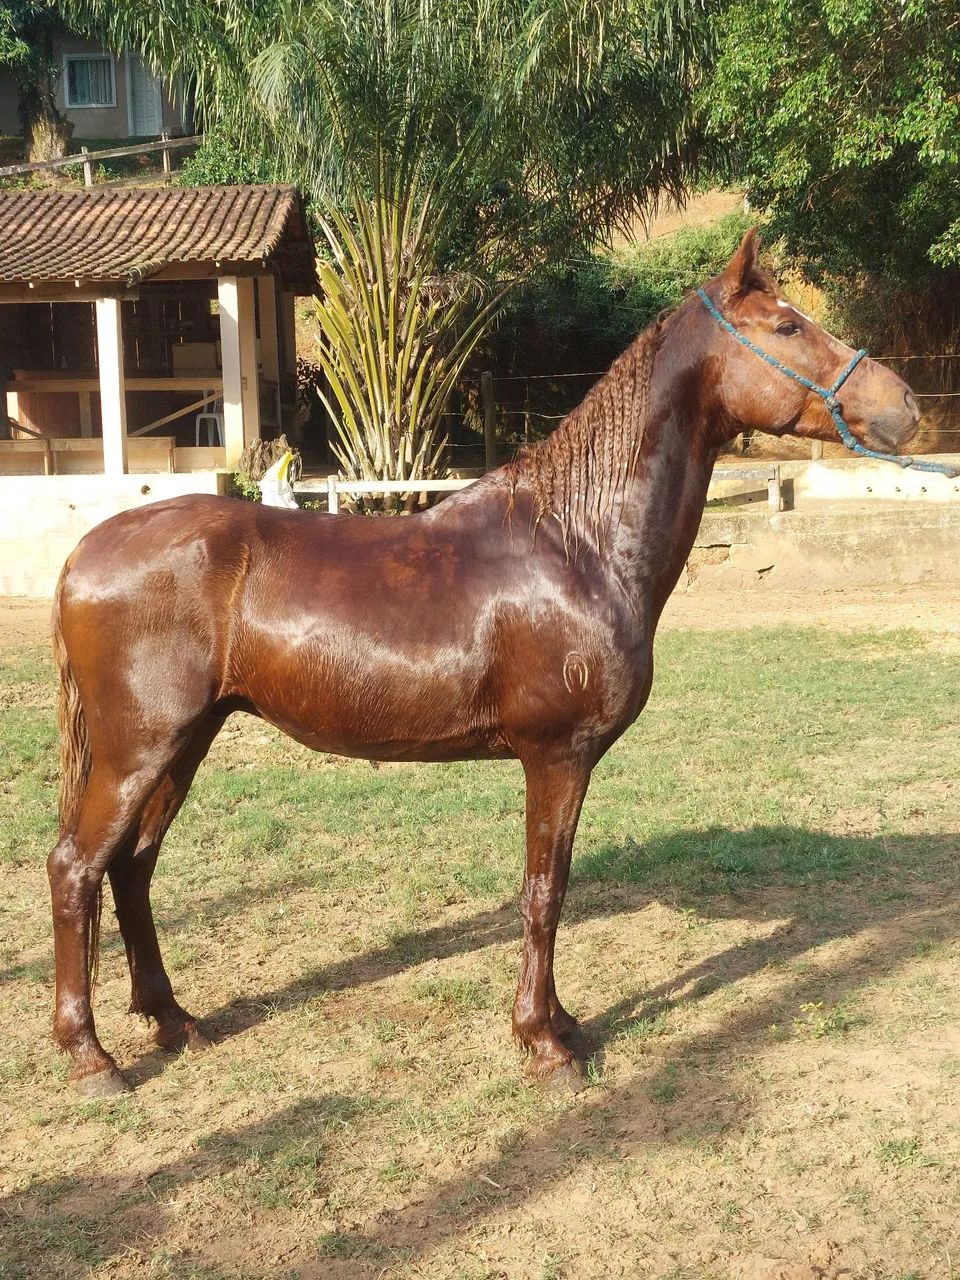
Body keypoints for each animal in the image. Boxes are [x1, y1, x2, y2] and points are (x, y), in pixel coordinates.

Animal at [47, 230, 919, 1097]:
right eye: (786, 326)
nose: (905, 405)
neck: (578, 541)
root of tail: (87, 550)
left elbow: (551, 891)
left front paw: (562, 1022)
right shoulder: (558, 756)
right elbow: (543, 893)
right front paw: (544, 1044)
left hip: (184, 744)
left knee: (131, 869)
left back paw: (173, 1021)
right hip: (139, 749)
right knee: (77, 867)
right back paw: (92, 1058)